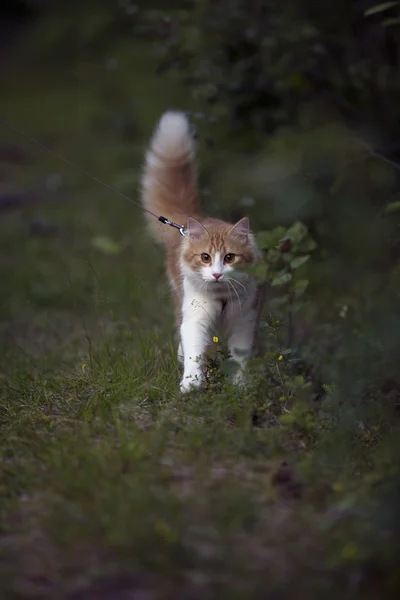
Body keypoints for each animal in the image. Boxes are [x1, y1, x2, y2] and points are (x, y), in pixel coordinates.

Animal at [141, 111, 262, 394]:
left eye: (229, 258)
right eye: (205, 258)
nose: (217, 274)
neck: (222, 296)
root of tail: (191, 220)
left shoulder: (243, 321)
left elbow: (240, 357)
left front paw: (239, 385)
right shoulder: (195, 319)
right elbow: (195, 351)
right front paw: (192, 382)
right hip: (180, 298)